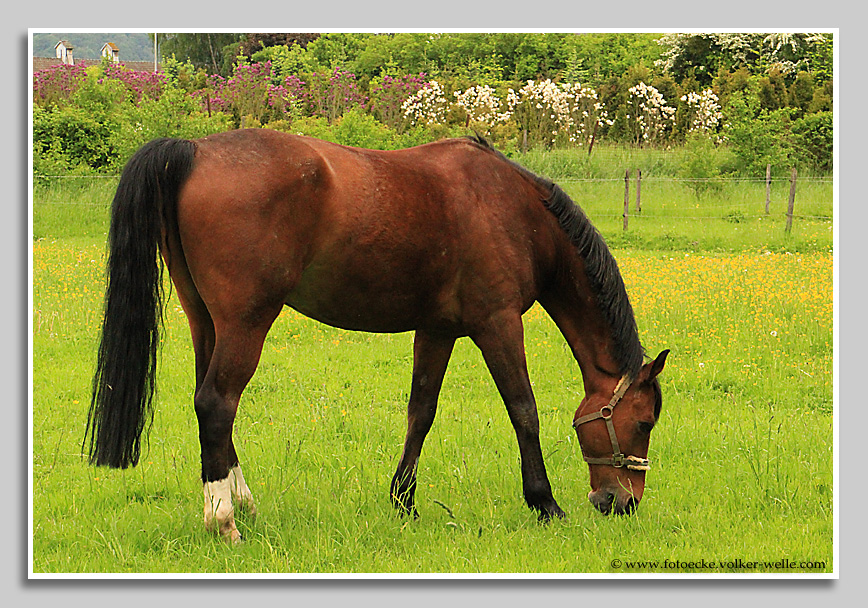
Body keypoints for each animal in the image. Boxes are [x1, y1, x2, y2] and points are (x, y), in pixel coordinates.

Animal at [85, 129, 668, 544]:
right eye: (642, 423)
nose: (623, 502)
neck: (515, 209)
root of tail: (195, 151)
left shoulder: (437, 330)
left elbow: (421, 413)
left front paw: (402, 501)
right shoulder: (498, 324)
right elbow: (524, 411)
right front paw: (544, 503)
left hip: (204, 319)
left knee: (211, 406)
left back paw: (242, 505)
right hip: (246, 321)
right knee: (216, 403)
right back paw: (224, 522)